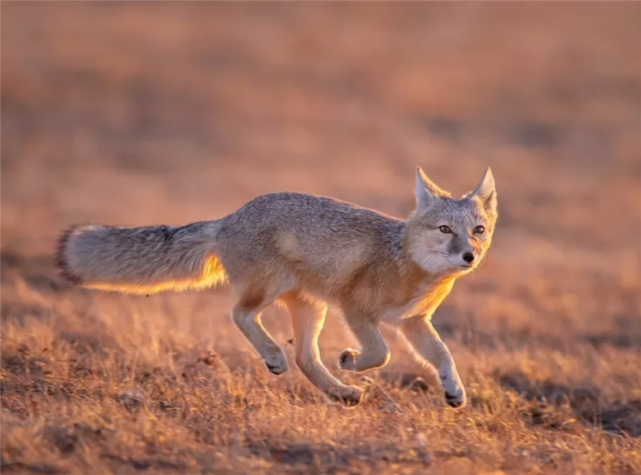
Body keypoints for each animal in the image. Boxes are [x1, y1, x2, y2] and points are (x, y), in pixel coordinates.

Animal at [56, 167, 496, 410]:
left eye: (478, 230)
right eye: (445, 230)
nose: (469, 256)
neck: (408, 263)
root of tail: (229, 217)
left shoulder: (412, 322)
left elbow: (443, 356)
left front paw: (454, 392)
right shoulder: (354, 309)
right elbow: (381, 354)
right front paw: (351, 359)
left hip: (311, 307)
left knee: (304, 356)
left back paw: (340, 394)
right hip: (272, 289)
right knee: (240, 314)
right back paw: (274, 356)